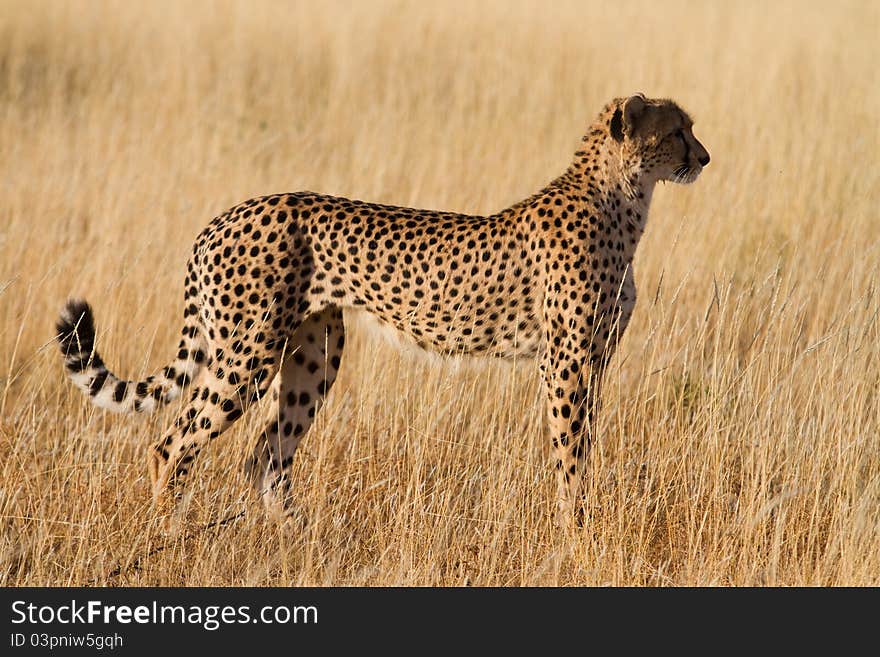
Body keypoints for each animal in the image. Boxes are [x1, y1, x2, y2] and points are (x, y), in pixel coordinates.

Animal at [56, 93, 708, 524]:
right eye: (678, 130)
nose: (704, 157)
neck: (622, 199)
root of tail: (225, 214)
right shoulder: (565, 361)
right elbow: (571, 450)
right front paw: (579, 529)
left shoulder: (593, 358)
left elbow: (583, 443)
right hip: (249, 352)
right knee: (174, 443)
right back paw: (171, 530)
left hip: (314, 355)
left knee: (265, 455)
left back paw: (295, 538)